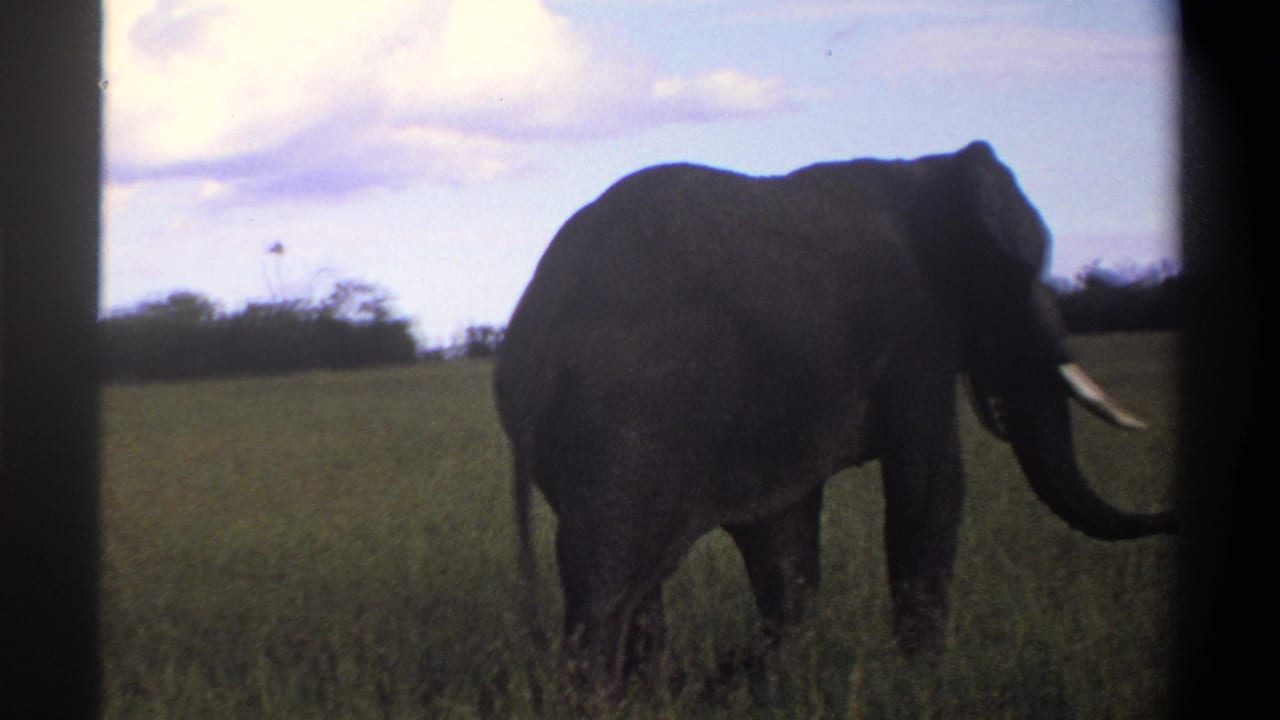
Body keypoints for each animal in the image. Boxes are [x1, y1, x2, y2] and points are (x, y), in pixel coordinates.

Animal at [493, 140, 1176, 692]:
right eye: (1019, 273)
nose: (1171, 514)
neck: (925, 171)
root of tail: (540, 329)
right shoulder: (915, 337)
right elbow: (931, 485)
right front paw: (924, 685)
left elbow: (786, 543)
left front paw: (746, 679)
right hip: (629, 418)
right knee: (605, 585)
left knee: (631, 585)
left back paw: (662, 692)